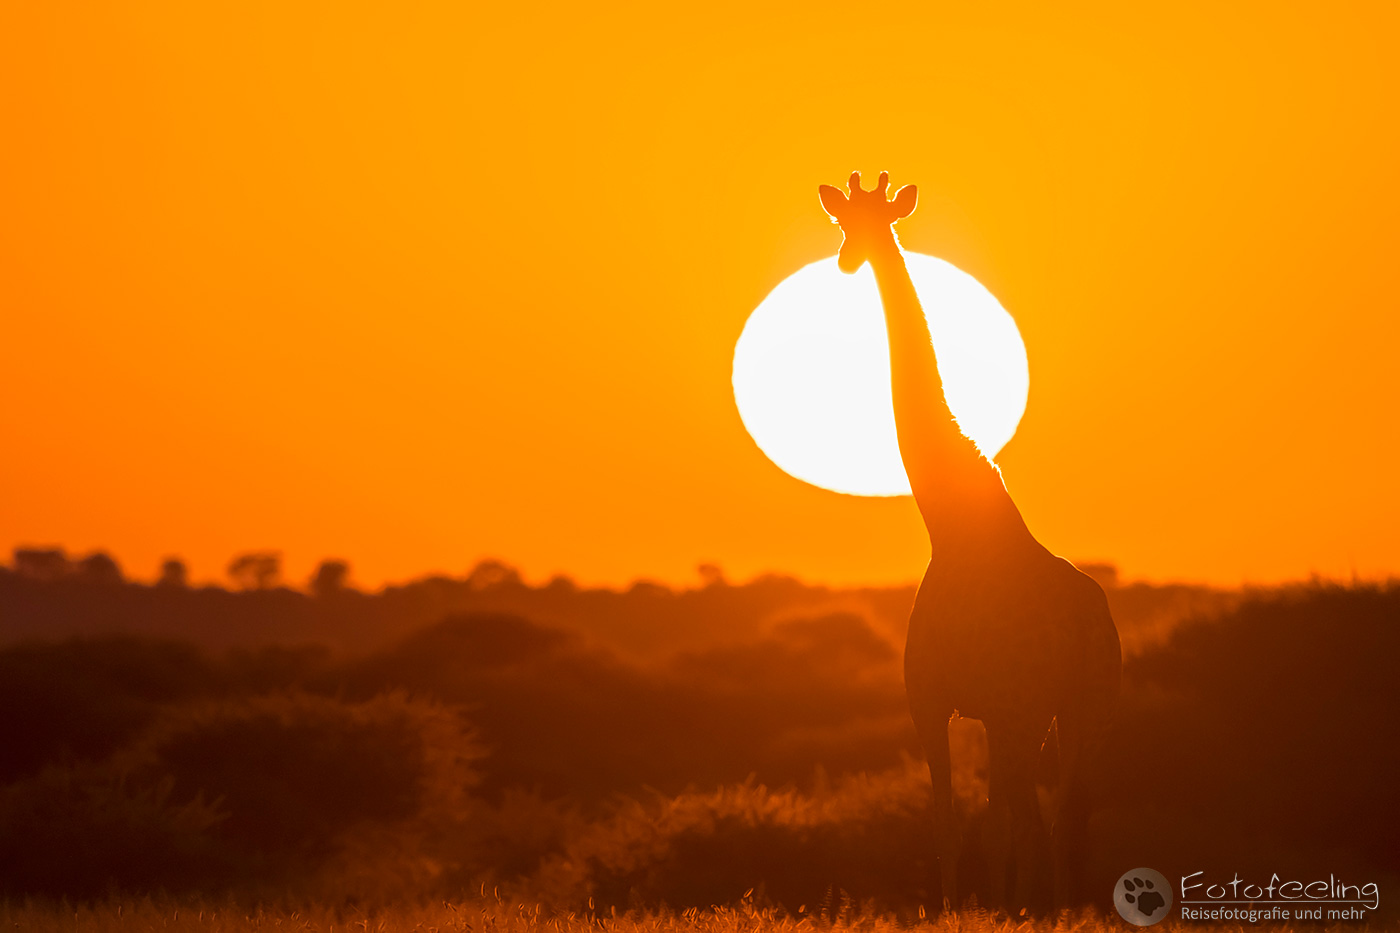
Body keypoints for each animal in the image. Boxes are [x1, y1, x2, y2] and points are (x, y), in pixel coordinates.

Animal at [818, 171, 1121, 912]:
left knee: (1042, 816)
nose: (847, 260)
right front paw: (985, 907)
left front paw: (967, 910)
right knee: (1059, 814)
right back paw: (1055, 907)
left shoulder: (945, 701)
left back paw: (1042, 908)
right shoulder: (969, 708)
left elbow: (961, 821)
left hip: (1040, 708)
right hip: (1076, 710)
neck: (949, 521)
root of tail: (1091, 628)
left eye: (867, 223)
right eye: (842, 223)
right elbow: (981, 820)